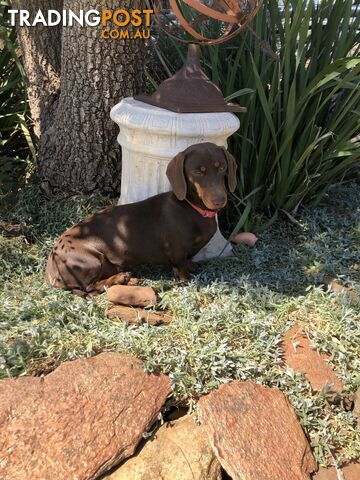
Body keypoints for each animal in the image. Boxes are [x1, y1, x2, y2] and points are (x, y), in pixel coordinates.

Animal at [44, 141, 236, 294]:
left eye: (222, 167)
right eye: (198, 172)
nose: (220, 200)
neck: (192, 209)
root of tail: (51, 272)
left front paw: (193, 266)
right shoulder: (177, 252)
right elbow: (181, 268)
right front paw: (187, 279)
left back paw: (127, 279)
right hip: (91, 260)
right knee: (90, 287)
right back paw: (120, 278)